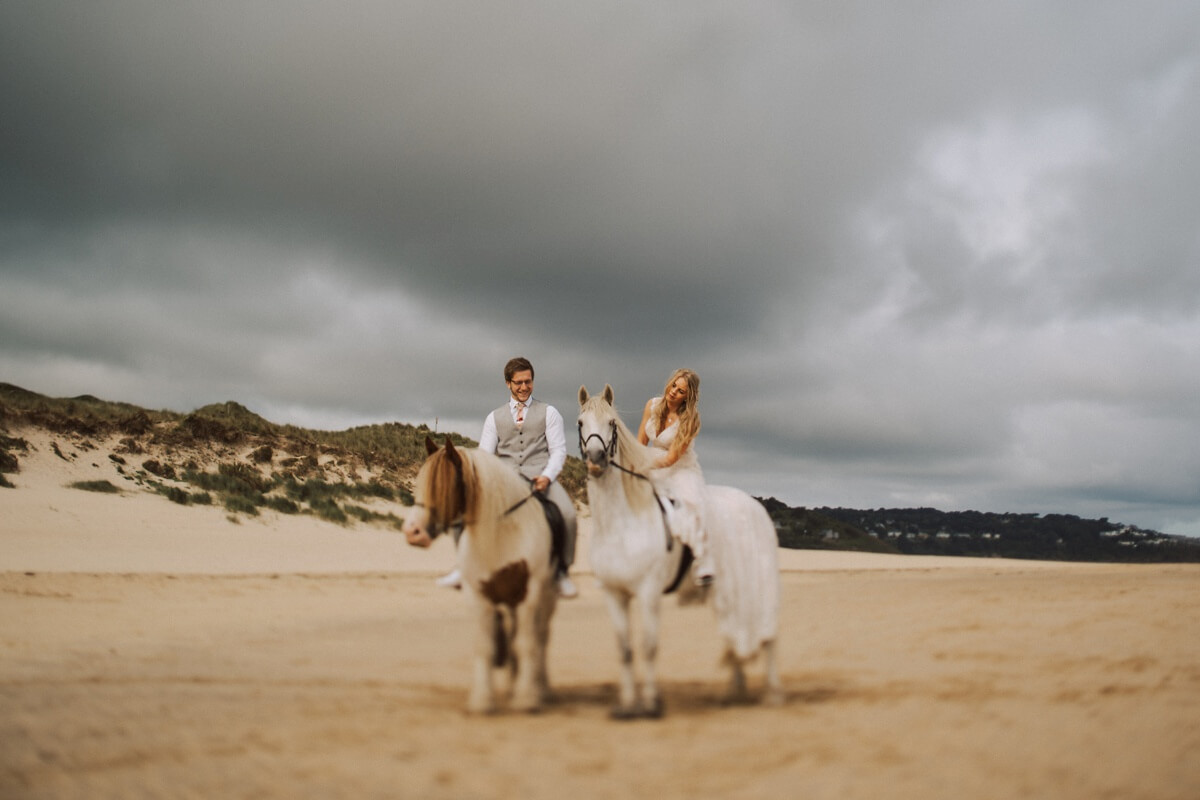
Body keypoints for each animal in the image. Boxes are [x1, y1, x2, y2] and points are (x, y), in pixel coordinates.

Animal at [400, 438, 554, 714]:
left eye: (443, 484)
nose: (412, 532)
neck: (502, 533)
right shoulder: (479, 596)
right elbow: (486, 646)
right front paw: (483, 700)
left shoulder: (529, 596)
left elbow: (526, 643)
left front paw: (526, 699)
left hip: (546, 598)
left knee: (541, 637)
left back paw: (540, 688)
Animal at [576, 383, 782, 714]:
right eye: (581, 423)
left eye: (611, 424)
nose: (596, 460)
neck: (623, 522)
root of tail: (756, 507)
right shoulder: (614, 593)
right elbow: (625, 649)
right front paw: (627, 705)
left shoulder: (648, 592)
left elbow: (648, 647)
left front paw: (650, 705)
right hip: (726, 594)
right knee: (734, 636)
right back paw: (734, 694)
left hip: (758, 588)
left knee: (769, 636)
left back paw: (773, 695)